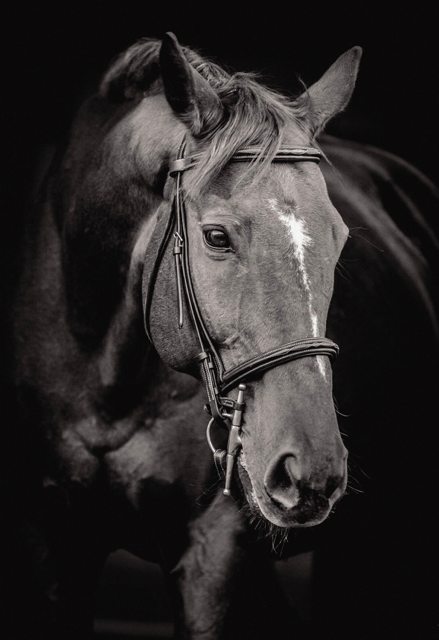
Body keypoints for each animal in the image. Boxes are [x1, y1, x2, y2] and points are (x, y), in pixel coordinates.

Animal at [2, 32, 438, 640]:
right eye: (215, 236)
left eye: (340, 238)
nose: (311, 469)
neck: (105, 383)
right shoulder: (46, 542)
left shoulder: (215, 556)